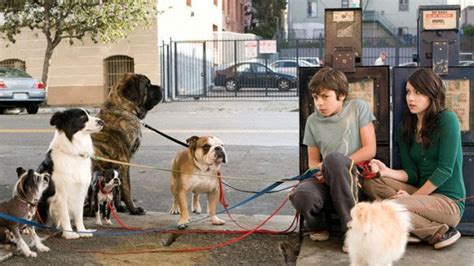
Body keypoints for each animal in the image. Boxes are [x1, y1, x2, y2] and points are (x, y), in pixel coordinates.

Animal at [36, 108, 103, 239]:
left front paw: (82, 231)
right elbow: (65, 215)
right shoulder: (61, 193)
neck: (73, 153)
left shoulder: (80, 191)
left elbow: (79, 215)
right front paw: (69, 234)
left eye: (89, 114)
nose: (101, 122)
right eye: (82, 117)